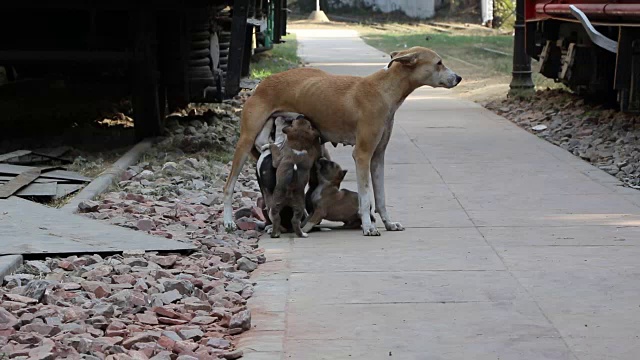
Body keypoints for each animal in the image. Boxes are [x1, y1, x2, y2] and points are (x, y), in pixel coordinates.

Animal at [222, 45, 462, 236]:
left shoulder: (378, 157)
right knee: (228, 185)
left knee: (266, 145)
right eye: (439, 63)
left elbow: (380, 197)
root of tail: (263, 82)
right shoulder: (362, 155)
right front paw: (368, 227)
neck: (383, 90)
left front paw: (388, 223)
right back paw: (228, 222)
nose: (459, 78)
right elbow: (365, 197)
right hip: (245, 141)